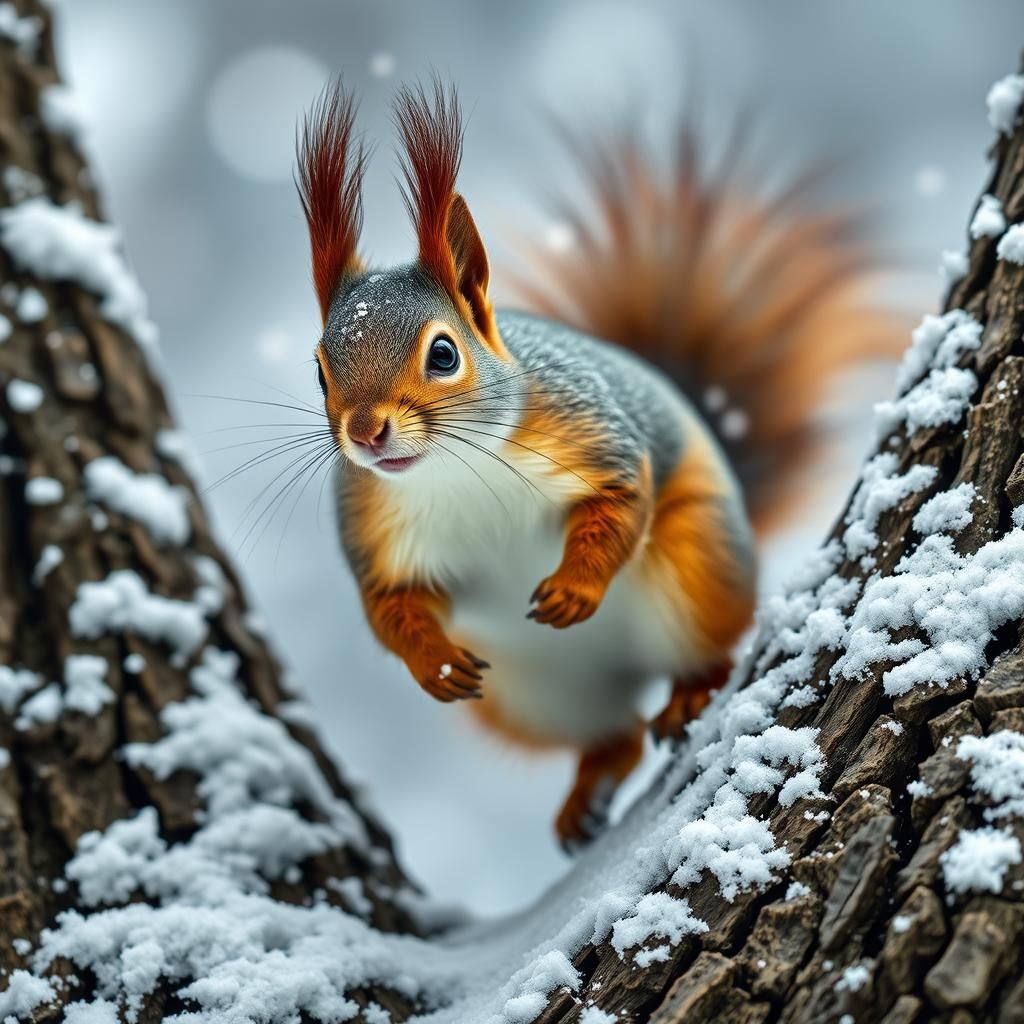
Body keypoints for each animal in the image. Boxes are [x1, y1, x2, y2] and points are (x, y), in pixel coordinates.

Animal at [295, 80, 903, 849]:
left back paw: (691, 693)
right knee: (619, 737)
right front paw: (434, 661)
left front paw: (575, 589)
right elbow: (390, 607)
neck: (452, 470)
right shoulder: (374, 534)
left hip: (693, 568)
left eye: (444, 353)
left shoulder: (591, 439)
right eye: (318, 370)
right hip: (535, 695)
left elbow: (618, 505)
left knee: (708, 657)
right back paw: (587, 792)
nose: (366, 432)